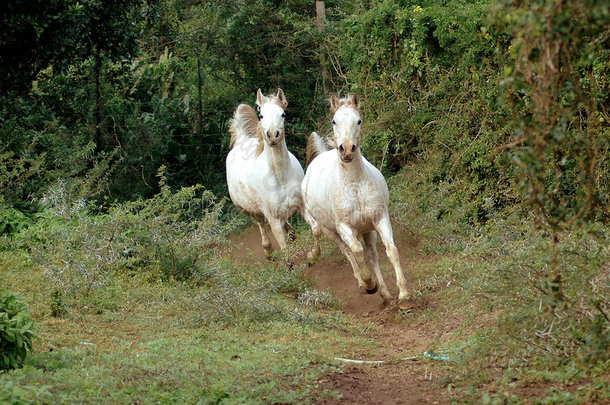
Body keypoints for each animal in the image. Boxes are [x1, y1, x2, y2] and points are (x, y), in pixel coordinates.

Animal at [224, 88, 302, 254]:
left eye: (283, 114)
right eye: (261, 115)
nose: (272, 135)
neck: (281, 177)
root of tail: (242, 140)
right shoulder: (273, 220)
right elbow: (285, 249)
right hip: (251, 210)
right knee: (261, 224)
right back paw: (268, 250)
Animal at [300, 93, 406, 302]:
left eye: (358, 120)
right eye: (334, 121)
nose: (347, 149)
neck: (355, 186)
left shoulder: (380, 219)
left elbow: (391, 250)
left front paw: (403, 293)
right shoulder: (344, 227)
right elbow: (356, 251)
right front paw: (369, 283)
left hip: (368, 229)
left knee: (372, 255)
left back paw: (385, 293)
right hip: (330, 230)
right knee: (348, 252)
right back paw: (361, 282)